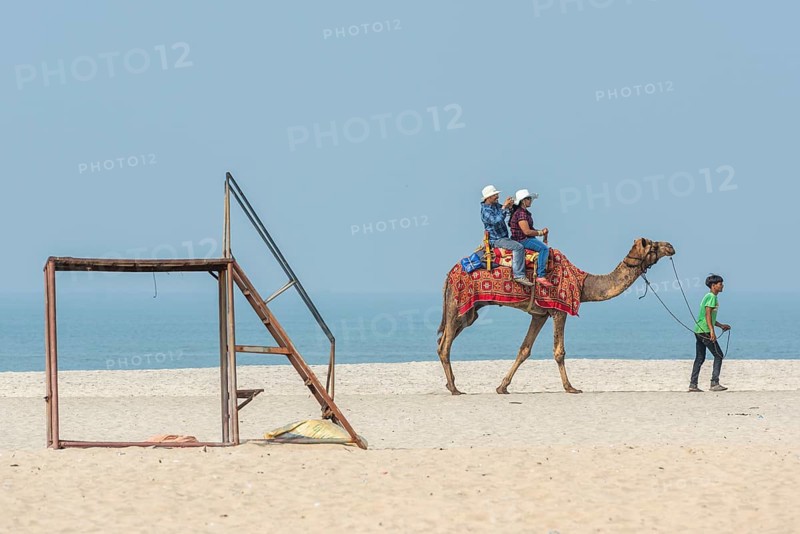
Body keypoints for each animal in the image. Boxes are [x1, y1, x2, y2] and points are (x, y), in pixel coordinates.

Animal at [436, 238, 675, 395]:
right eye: (653, 244)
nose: (670, 246)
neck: (583, 284)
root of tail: (449, 274)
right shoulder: (560, 309)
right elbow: (559, 351)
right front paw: (570, 387)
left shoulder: (539, 314)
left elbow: (524, 349)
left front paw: (502, 386)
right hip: (458, 304)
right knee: (445, 344)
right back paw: (455, 389)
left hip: (469, 312)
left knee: (442, 340)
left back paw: (450, 384)